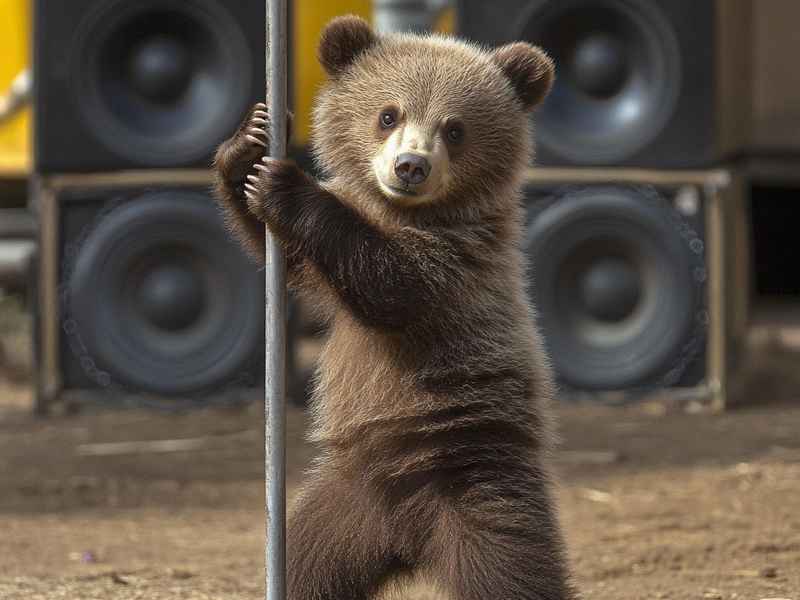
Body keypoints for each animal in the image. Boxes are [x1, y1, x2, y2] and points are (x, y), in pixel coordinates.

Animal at [213, 15, 576, 600]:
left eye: (455, 128)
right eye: (389, 113)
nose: (410, 166)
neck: (401, 212)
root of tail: (408, 540)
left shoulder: (461, 262)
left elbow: (392, 285)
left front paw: (288, 184)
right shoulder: (330, 279)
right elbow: (288, 258)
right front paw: (250, 143)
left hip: (483, 490)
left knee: (513, 572)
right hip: (336, 514)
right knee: (305, 571)